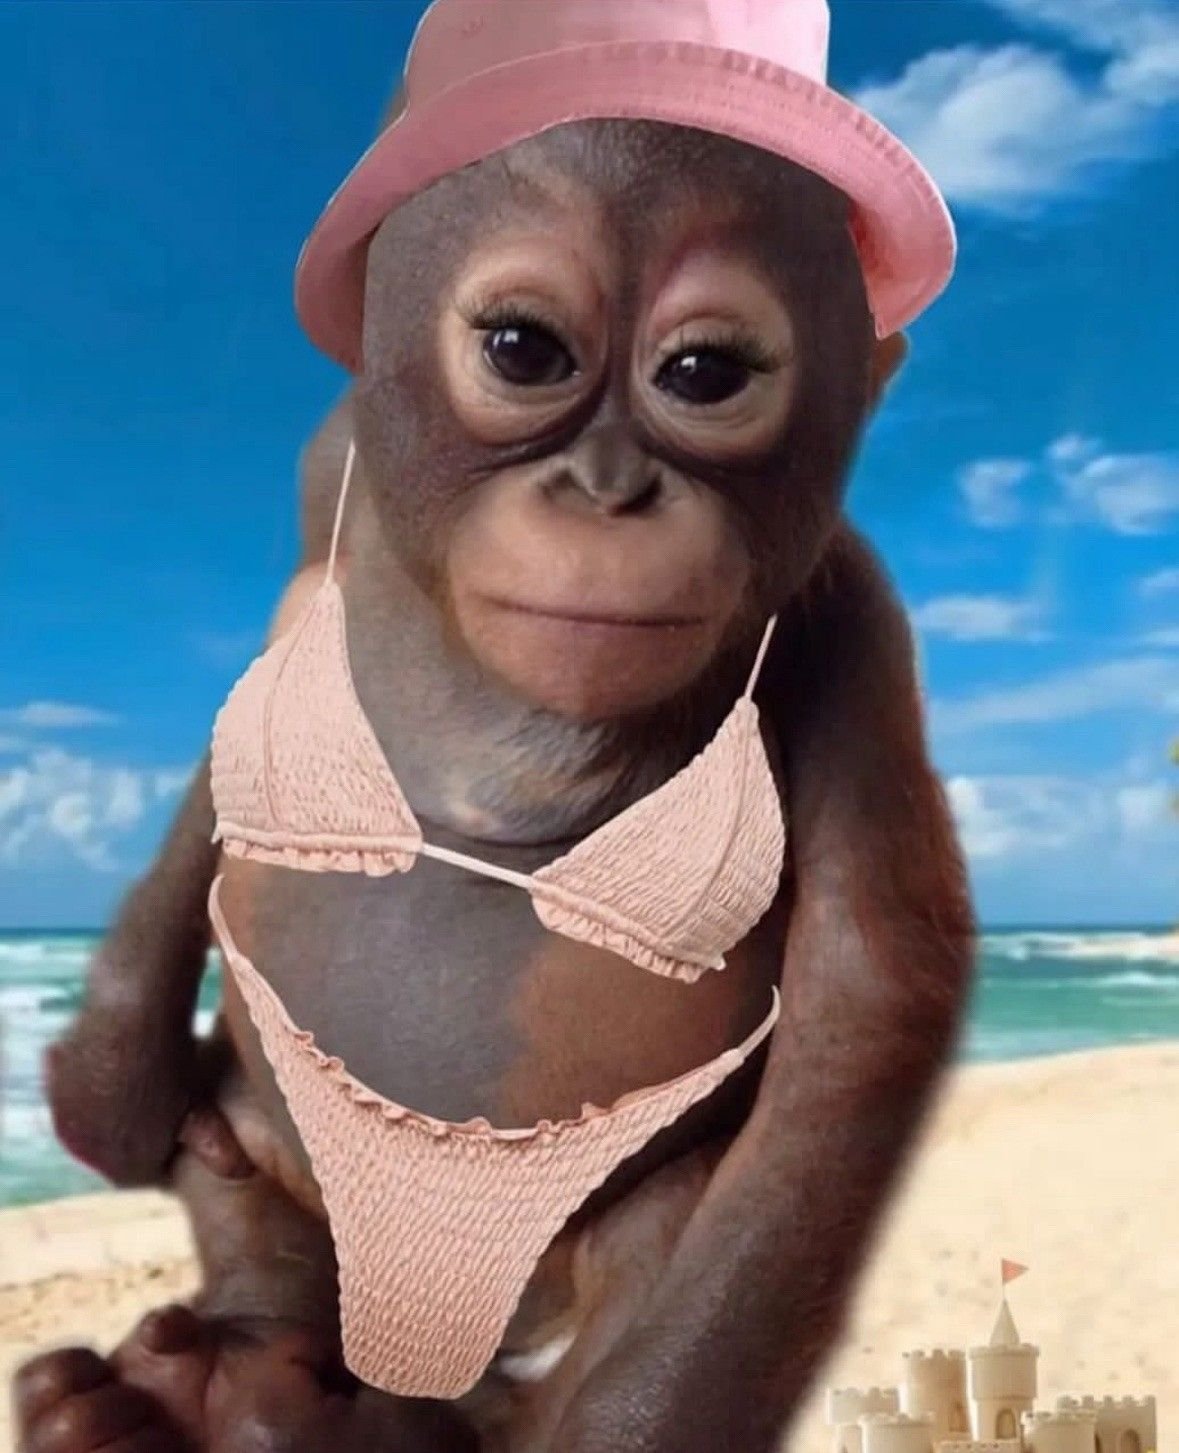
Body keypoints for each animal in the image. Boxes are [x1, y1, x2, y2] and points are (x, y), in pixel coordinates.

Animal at [14, 118, 974, 1453]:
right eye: (525, 352)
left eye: (705, 375)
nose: (608, 489)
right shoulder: (332, 466)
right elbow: (223, 758)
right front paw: (109, 1085)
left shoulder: (855, 613)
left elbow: (866, 989)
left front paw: (631, 1427)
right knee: (246, 1174)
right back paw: (220, 1387)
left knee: (664, 1226)